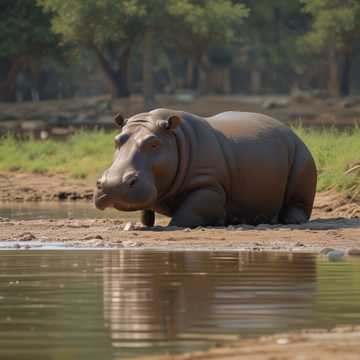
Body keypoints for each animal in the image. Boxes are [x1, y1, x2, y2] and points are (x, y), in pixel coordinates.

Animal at [94, 109, 316, 228]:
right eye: (116, 141)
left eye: (154, 144)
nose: (112, 185)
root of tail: (290, 130)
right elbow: (146, 212)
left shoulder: (209, 185)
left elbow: (185, 215)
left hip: (302, 153)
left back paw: (290, 220)